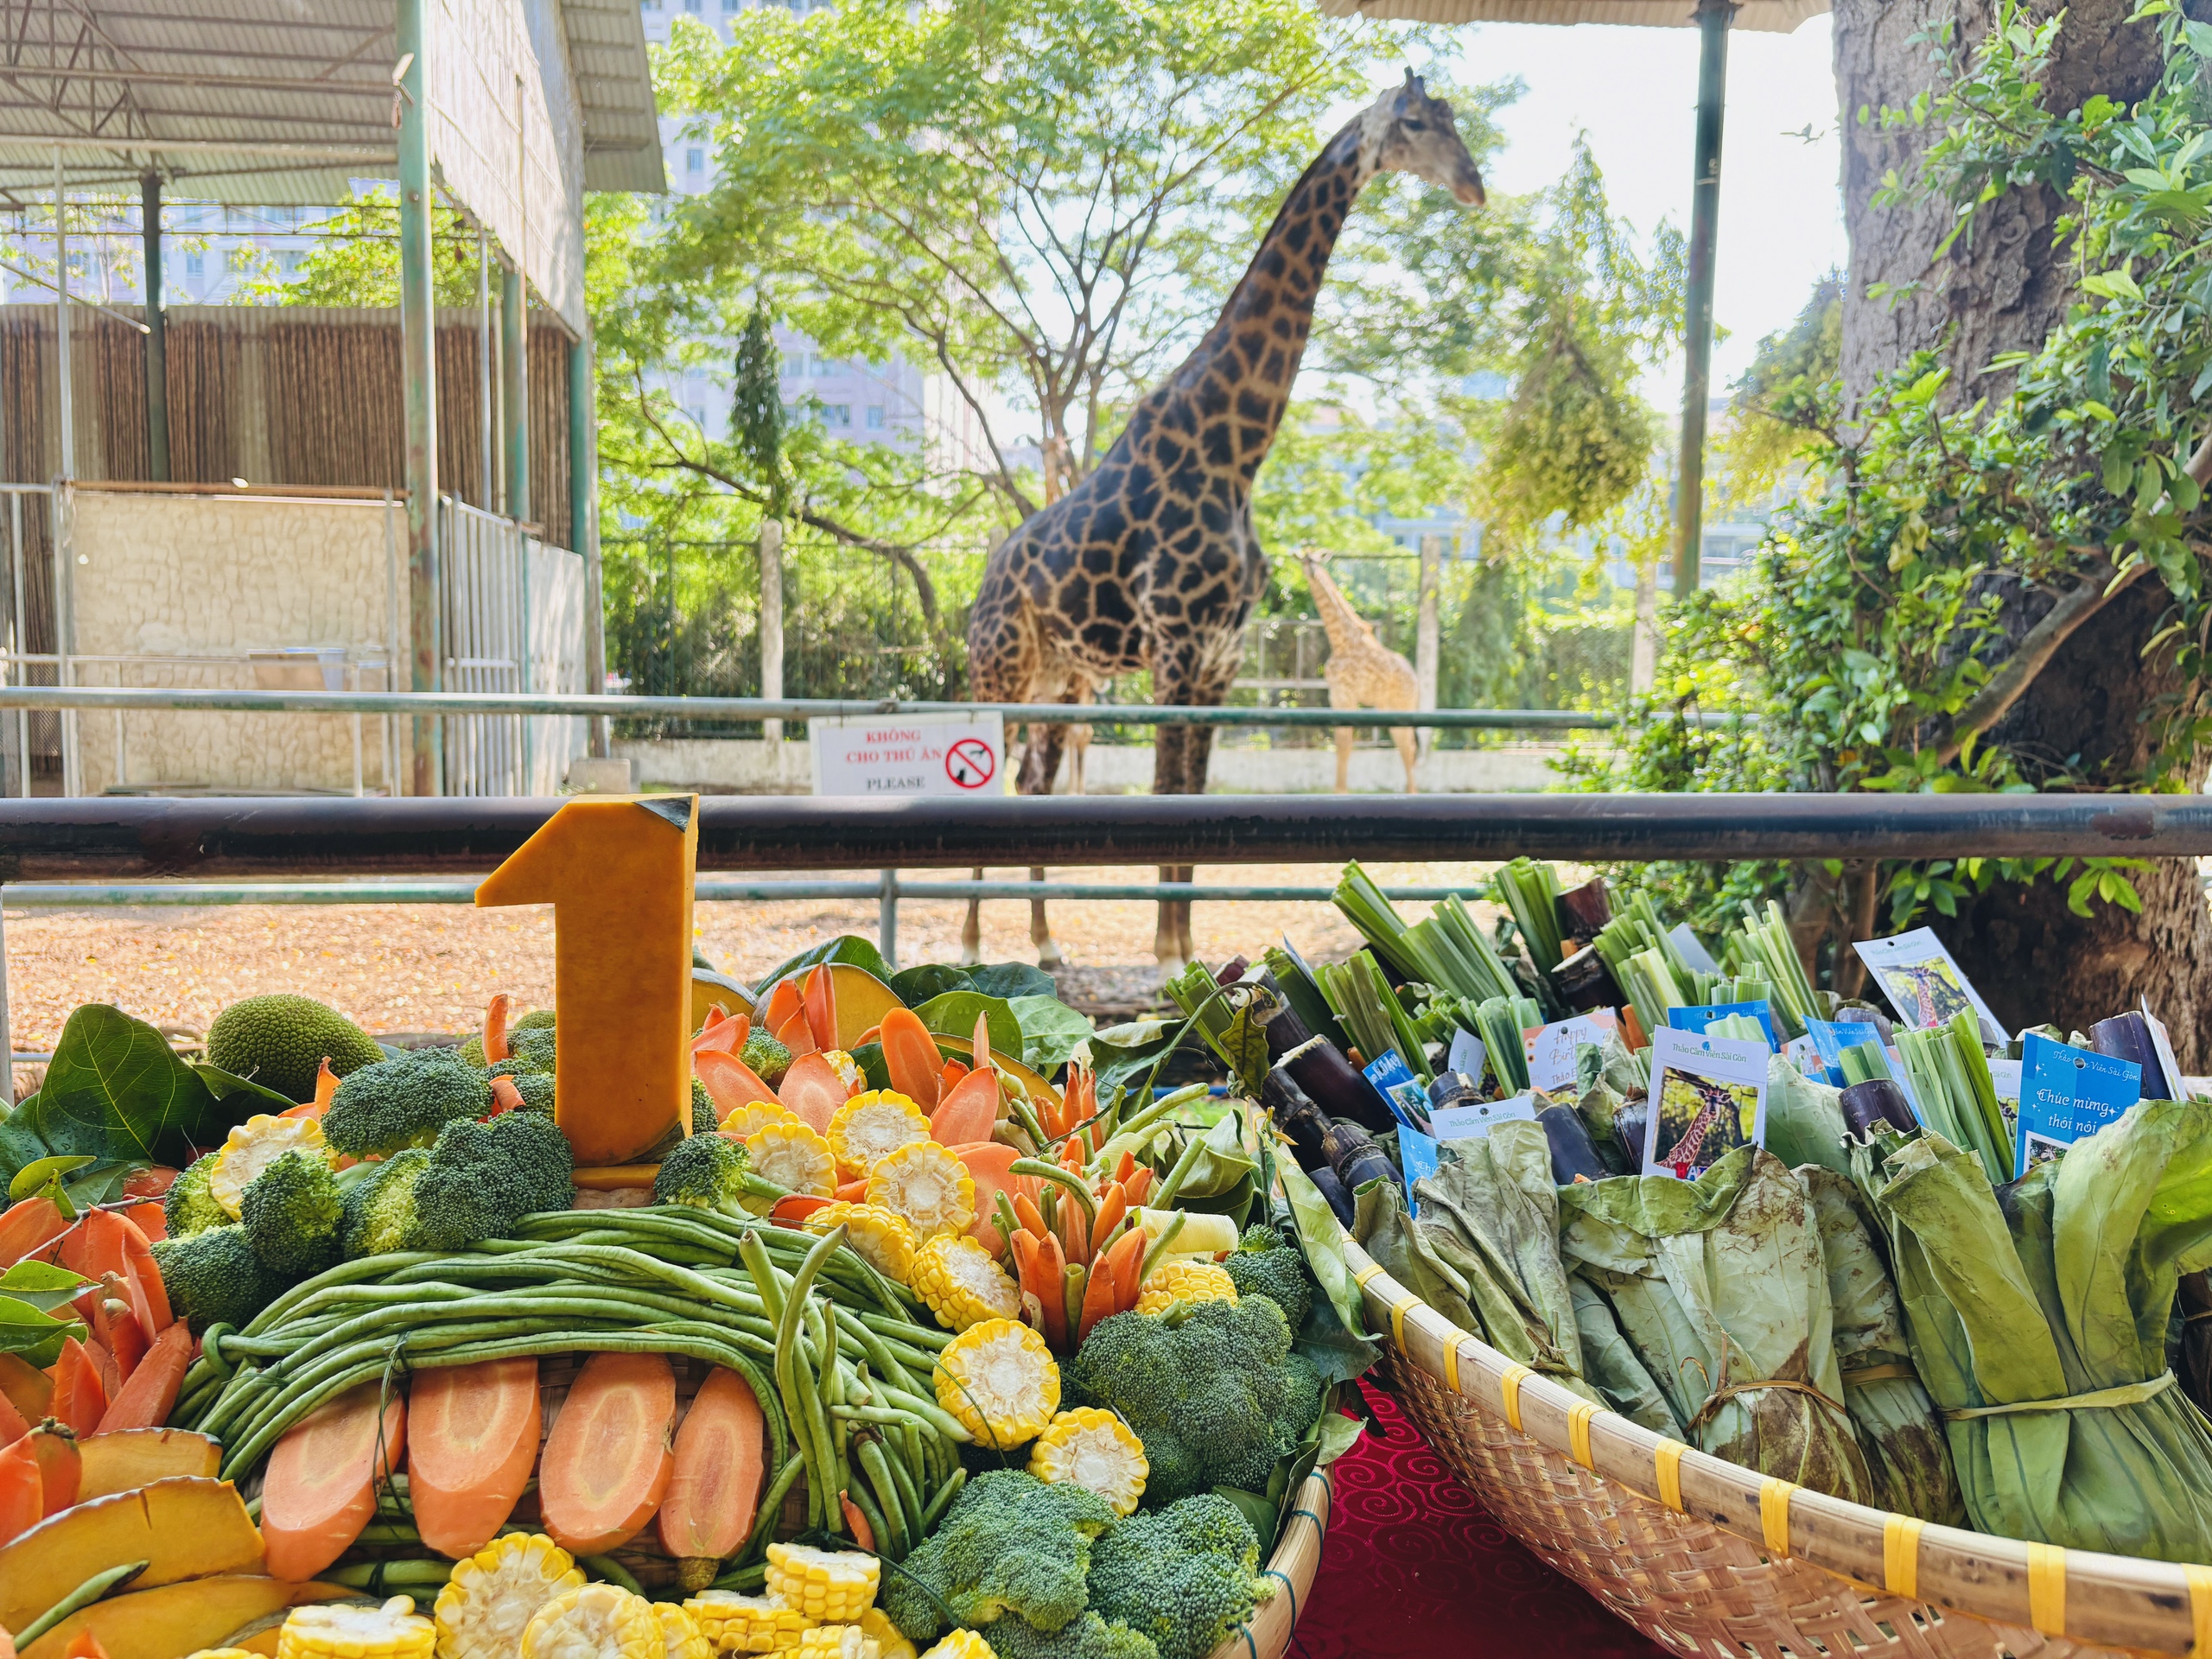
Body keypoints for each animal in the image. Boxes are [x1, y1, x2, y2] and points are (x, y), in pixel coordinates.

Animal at [1292, 553, 1415, 800]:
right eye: (1305, 560)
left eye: (1317, 559)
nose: (1313, 572)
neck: (1341, 641)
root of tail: (1416, 683)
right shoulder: (1336, 695)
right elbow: (1341, 741)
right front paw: (1339, 790)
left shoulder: (1345, 693)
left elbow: (1344, 742)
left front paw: (1340, 791)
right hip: (1387, 709)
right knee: (1405, 745)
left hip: (1401, 707)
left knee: (1408, 747)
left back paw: (1412, 794)